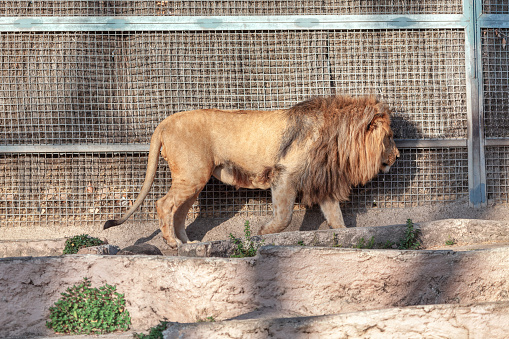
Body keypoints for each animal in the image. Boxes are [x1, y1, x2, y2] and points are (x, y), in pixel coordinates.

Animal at [104, 94, 396, 248]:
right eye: (390, 137)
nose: (398, 156)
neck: (338, 138)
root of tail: (165, 121)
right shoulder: (284, 175)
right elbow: (284, 216)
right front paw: (262, 233)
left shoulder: (319, 182)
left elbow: (336, 218)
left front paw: (345, 237)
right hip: (192, 175)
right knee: (163, 204)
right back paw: (173, 243)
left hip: (194, 179)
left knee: (179, 212)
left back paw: (188, 244)